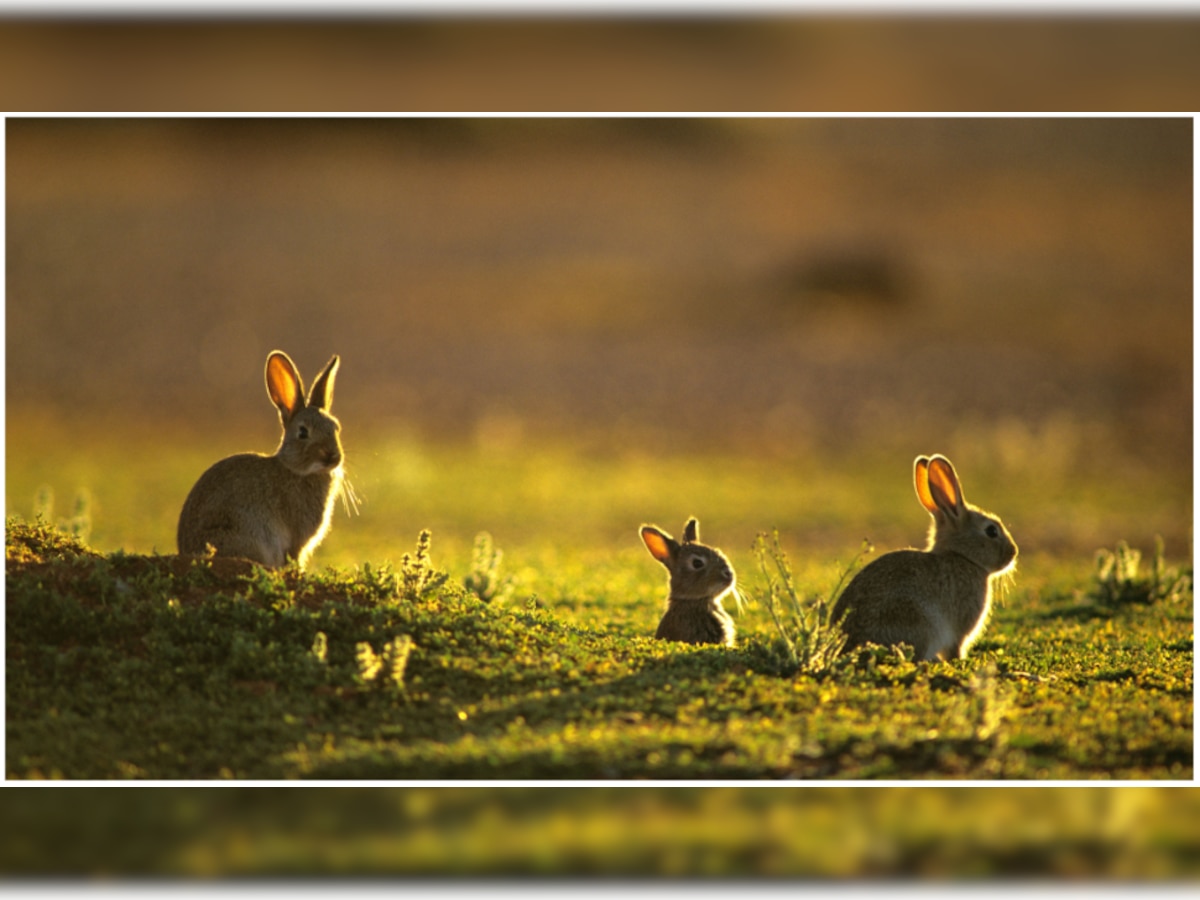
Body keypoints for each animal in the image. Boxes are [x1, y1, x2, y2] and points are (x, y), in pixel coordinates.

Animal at [177, 350, 348, 571]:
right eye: (303, 432)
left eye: (335, 428)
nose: (333, 457)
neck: (295, 469)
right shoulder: (296, 539)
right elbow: (295, 556)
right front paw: (298, 573)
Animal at [830, 458, 1017, 662]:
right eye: (991, 531)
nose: (1013, 552)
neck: (963, 557)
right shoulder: (959, 630)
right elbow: (955, 649)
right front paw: (959, 661)